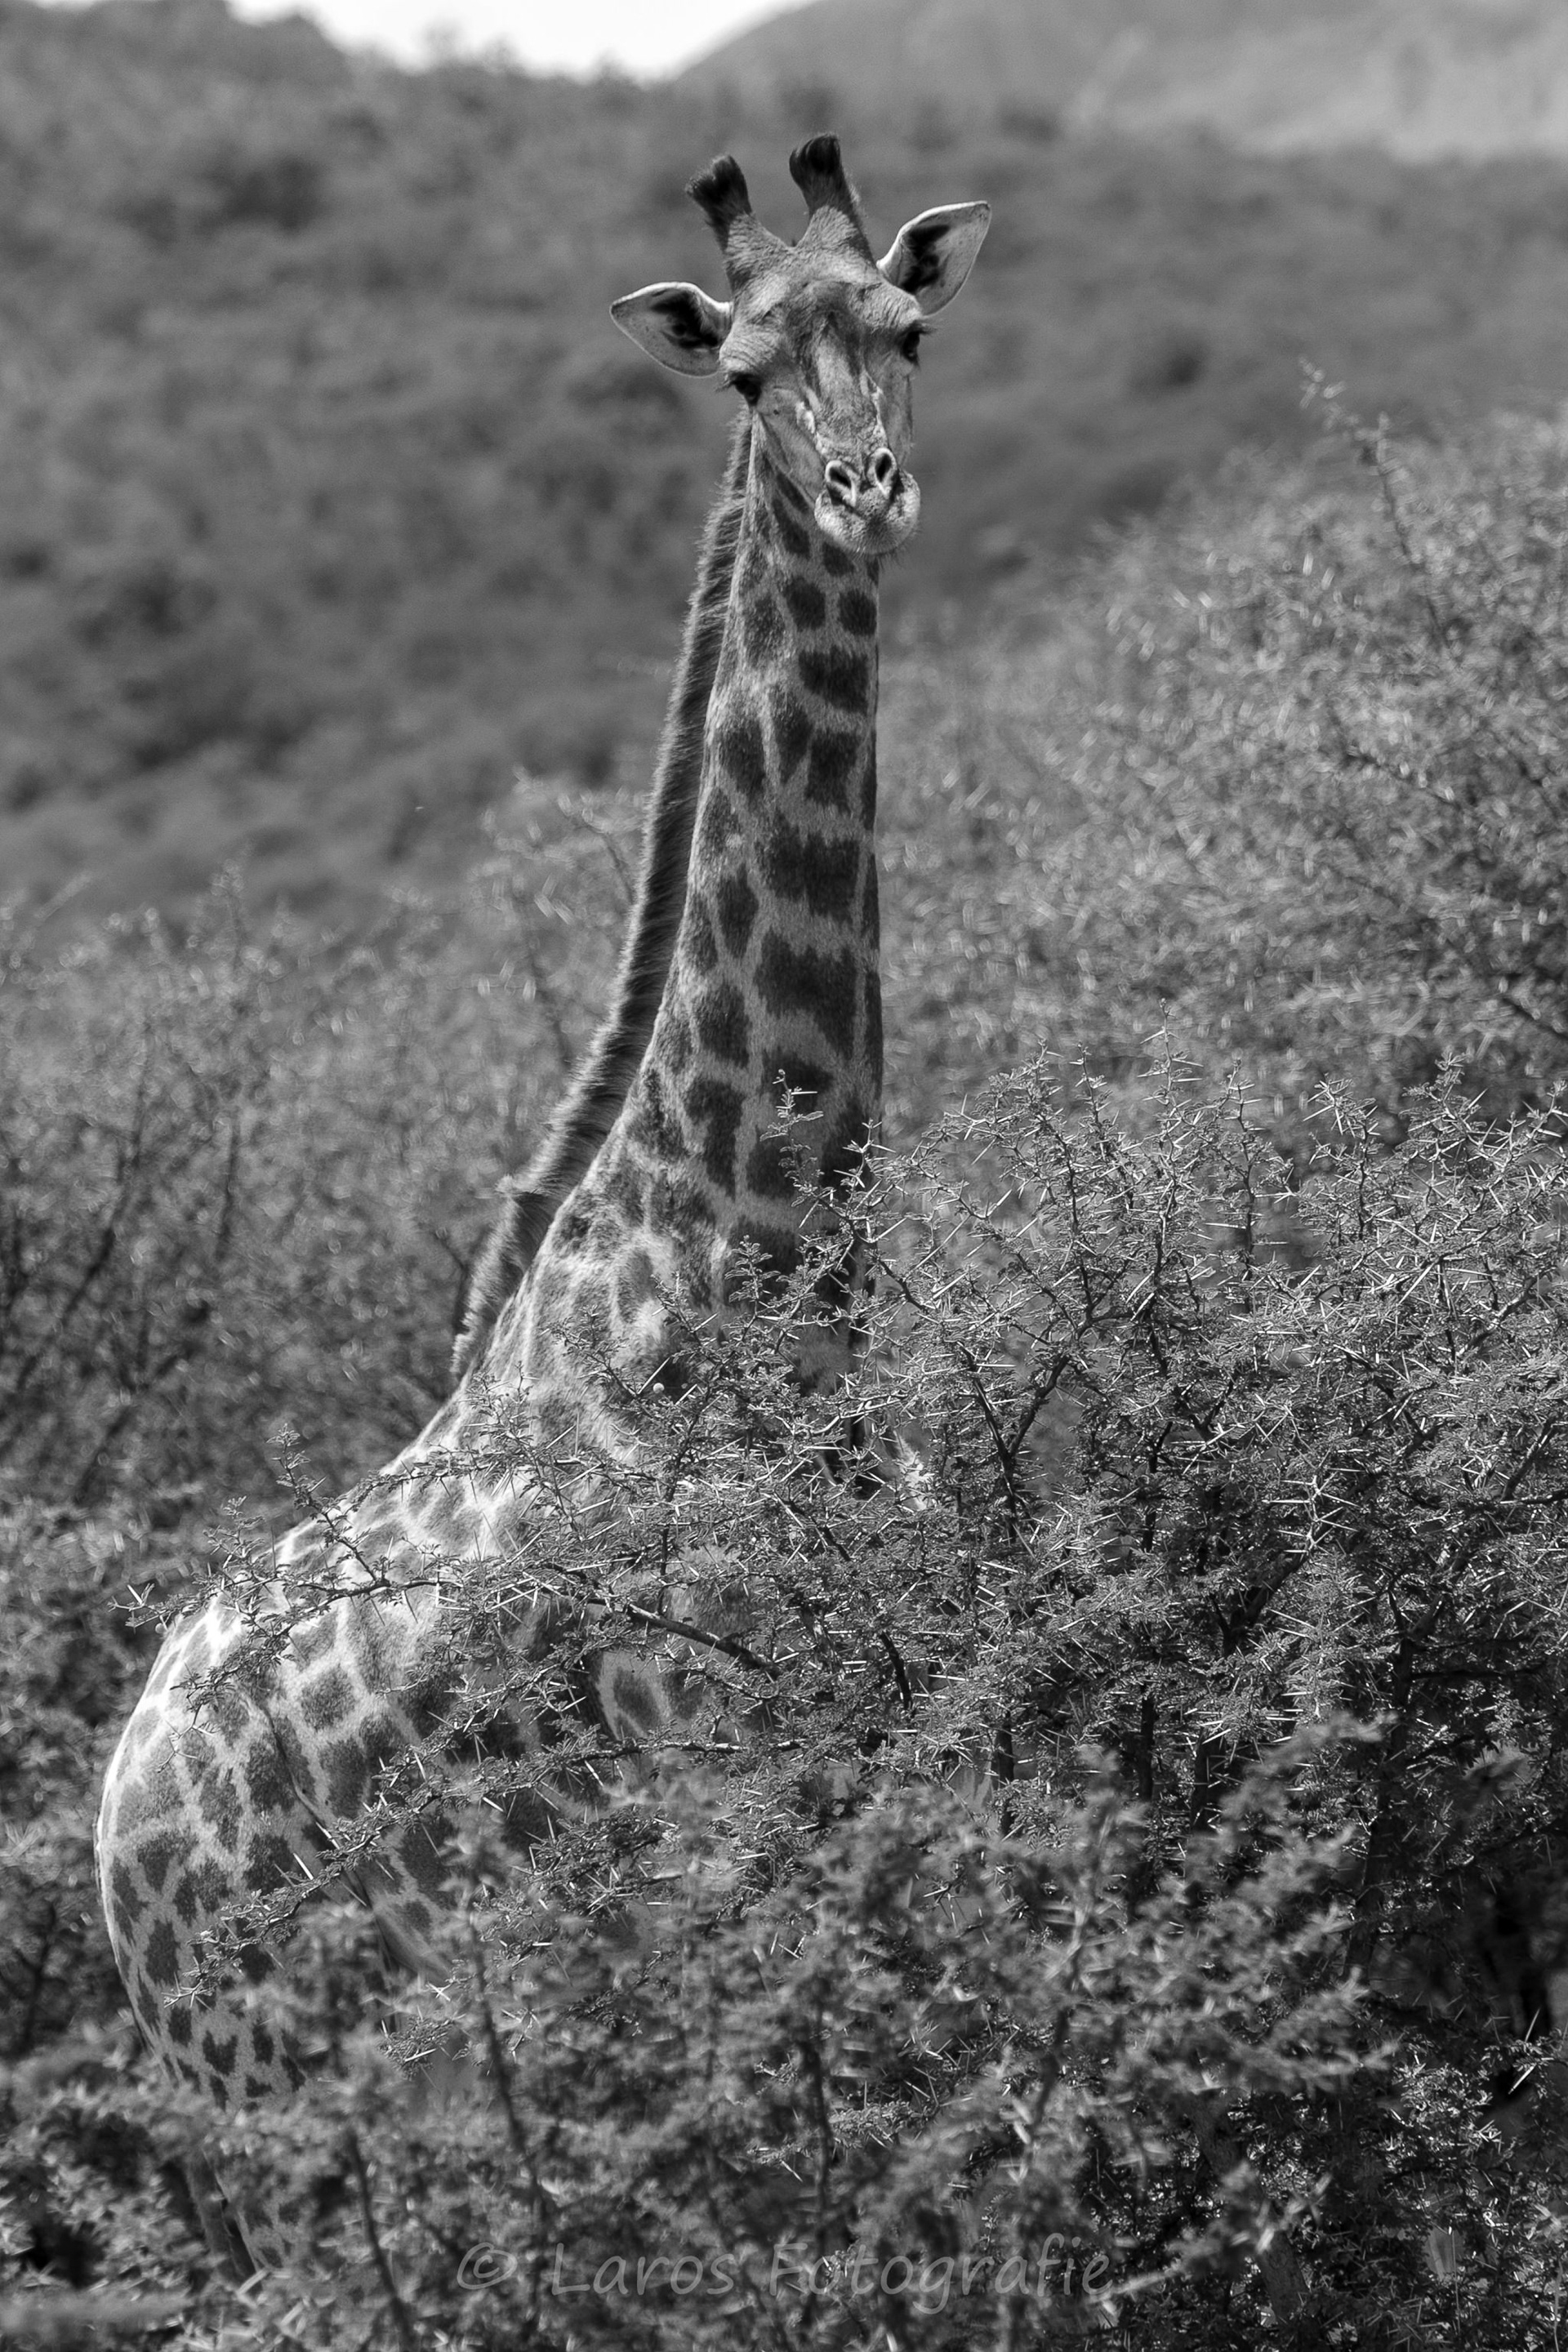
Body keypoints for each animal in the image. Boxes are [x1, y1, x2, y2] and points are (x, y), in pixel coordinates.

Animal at [94, 135, 990, 2274]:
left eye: (907, 333)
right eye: (742, 374)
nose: (867, 490)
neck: (743, 1264)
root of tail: (103, 1843)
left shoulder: (895, 1758)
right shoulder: (723, 1801)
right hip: (281, 2127)